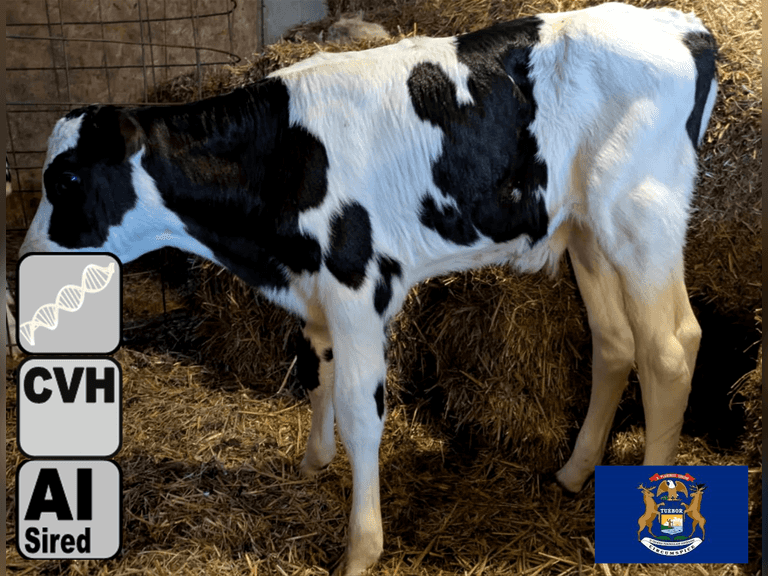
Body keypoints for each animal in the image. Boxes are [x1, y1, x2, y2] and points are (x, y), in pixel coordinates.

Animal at [19, 4, 718, 574]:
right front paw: (312, 463)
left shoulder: (356, 284)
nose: (26, 262)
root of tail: (679, 25)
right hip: (586, 233)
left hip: (640, 219)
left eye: (68, 179)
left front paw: (360, 548)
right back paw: (573, 473)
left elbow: (361, 411)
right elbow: (316, 372)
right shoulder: (315, 291)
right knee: (614, 342)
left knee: (670, 347)